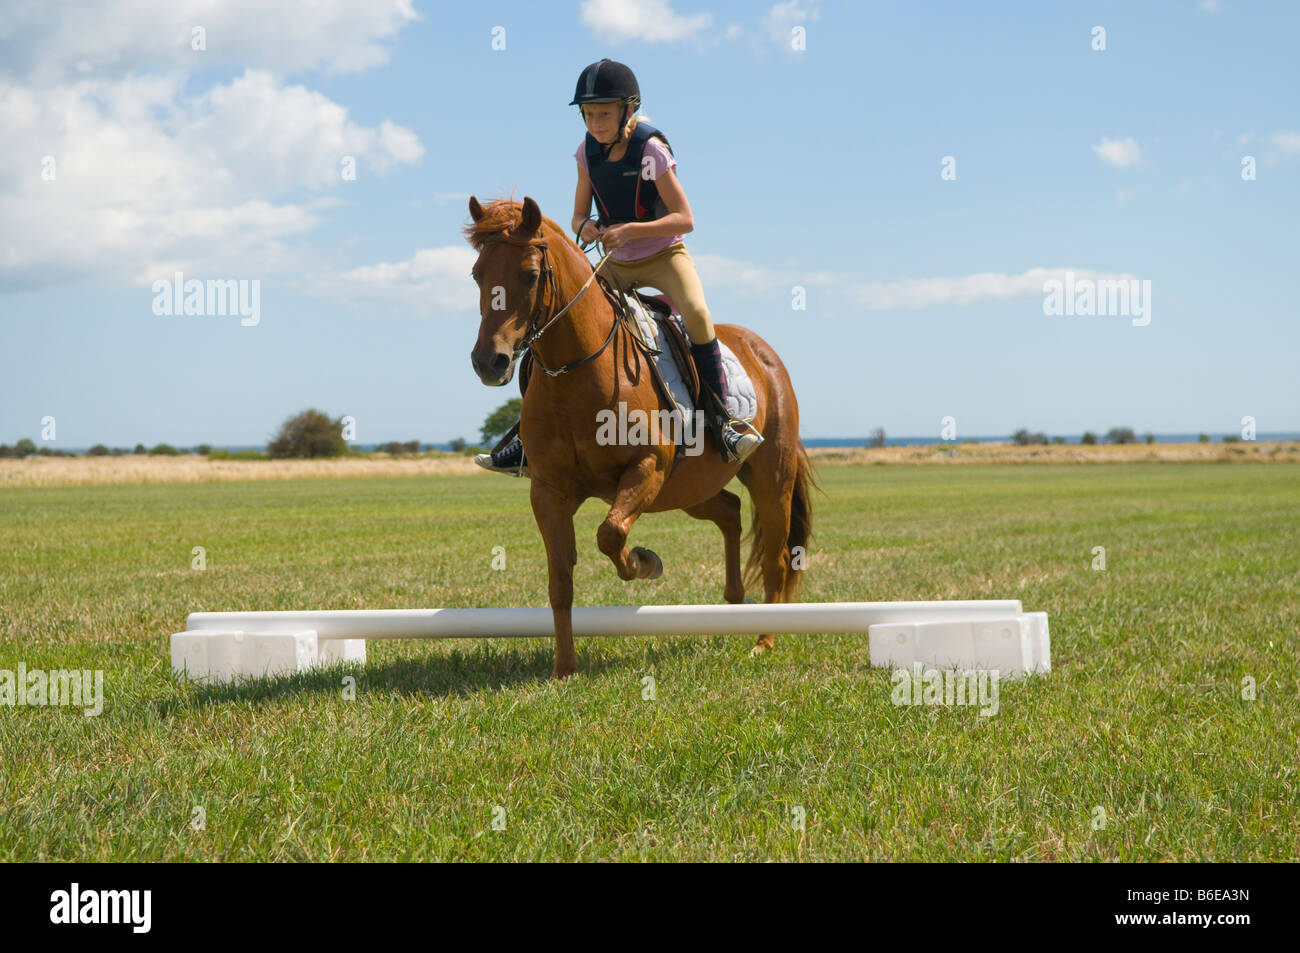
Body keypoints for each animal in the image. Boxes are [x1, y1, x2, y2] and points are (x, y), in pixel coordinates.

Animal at [465, 195, 811, 676]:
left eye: (530, 275)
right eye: (478, 274)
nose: (488, 362)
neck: (579, 371)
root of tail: (764, 351)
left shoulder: (647, 468)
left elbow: (610, 534)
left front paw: (646, 563)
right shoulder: (549, 490)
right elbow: (560, 582)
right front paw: (564, 668)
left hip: (769, 477)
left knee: (776, 558)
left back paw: (764, 640)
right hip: (689, 488)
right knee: (729, 512)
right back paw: (733, 604)